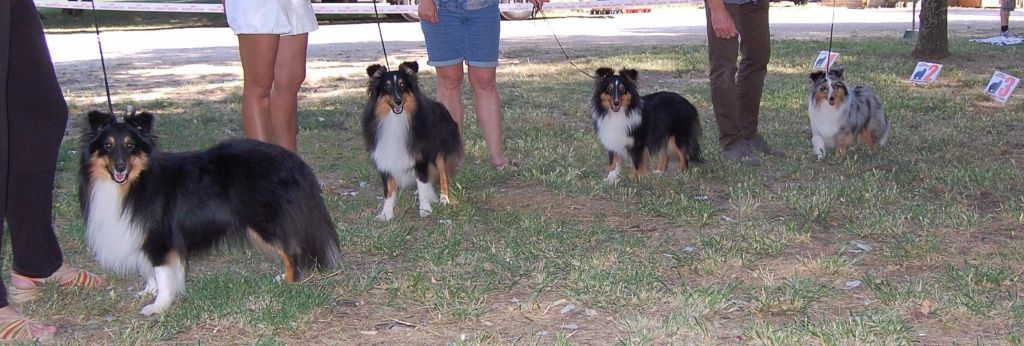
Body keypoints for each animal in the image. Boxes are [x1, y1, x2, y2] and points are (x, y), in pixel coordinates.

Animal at [79, 111, 342, 315]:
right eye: (107, 146)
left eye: (130, 146)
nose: (120, 167)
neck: (136, 182)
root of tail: (293, 161)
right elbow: (151, 270)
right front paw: (148, 290)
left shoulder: (160, 238)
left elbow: (162, 272)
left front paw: (158, 305)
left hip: (266, 222)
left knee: (291, 249)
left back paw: (289, 281)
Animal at [362, 60, 462, 220]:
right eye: (387, 87)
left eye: (402, 85)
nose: (398, 102)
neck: (396, 119)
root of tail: (442, 107)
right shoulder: (385, 157)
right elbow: (388, 190)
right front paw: (386, 214)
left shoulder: (419, 157)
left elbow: (423, 184)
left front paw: (425, 209)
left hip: (440, 152)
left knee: (443, 175)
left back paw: (444, 199)